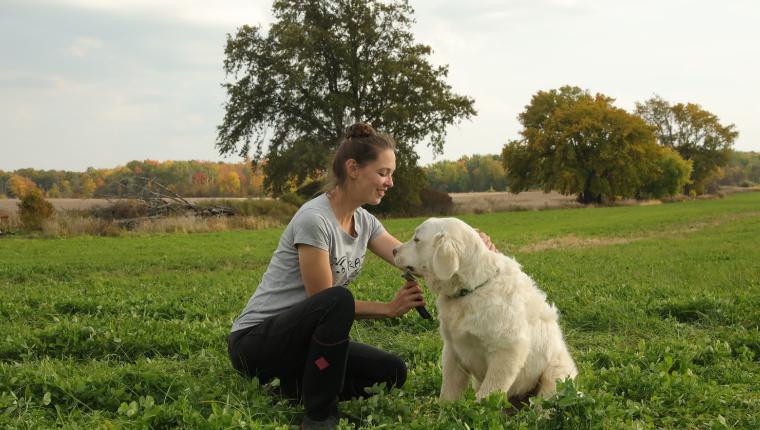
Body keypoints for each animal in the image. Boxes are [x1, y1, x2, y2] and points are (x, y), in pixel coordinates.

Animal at [392, 218, 576, 404]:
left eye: (416, 239)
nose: (393, 250)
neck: (471, 289)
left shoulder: (507, 350)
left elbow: (489, 392)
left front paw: (479, 409)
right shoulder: (452, 349)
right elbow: (449, 389)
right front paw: (444, 410)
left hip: (554, 375)